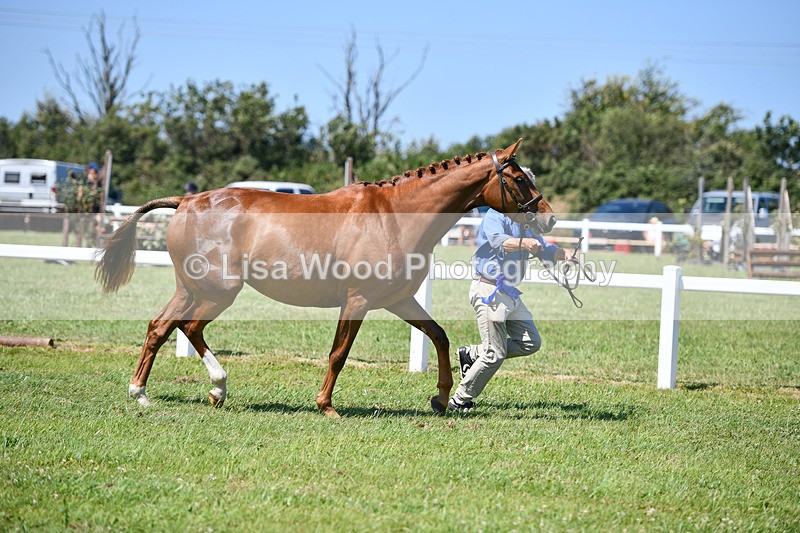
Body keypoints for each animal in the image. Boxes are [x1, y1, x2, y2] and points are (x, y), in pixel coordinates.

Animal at [95, 139, 556, 417]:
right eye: (518, 178)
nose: (548, 218)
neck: (394, 216)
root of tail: (186, 200)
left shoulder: (398, 300)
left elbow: (439, 337)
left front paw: (442, 398)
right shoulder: (357, 301)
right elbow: (339, 353)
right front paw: (326, 405)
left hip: (193, 289)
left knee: (162, 326)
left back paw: (151, 393)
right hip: (217, 292)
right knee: (186, 326)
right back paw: (209, 389)